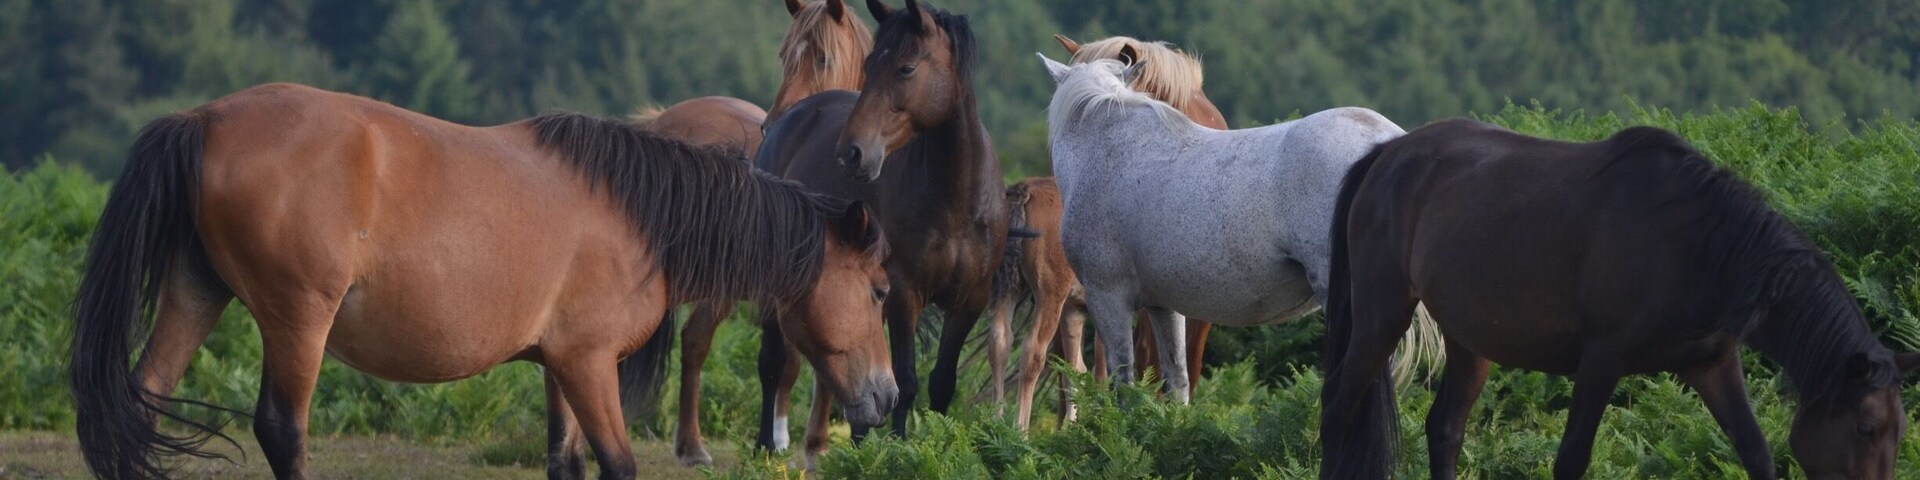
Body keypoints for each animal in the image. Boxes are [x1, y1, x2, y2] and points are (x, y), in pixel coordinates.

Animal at [67, 83, 896, 480]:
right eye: (881, 290)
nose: (888, 398)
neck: (639, 211)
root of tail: (204, 119)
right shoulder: (590, 365)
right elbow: (618, 464)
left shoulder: (562, 367)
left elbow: (565, 462)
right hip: (297, 321)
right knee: (281, 430)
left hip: (195, 294)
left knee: (142, 403)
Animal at [614, 0, 876, 467]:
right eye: (784, 56)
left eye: (824, 59)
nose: (775, 125)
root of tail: (663, 120)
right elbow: (777, 361)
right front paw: (766, 444)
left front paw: (813, 444)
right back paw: (687, 445)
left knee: (695, 338)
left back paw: (691, 444)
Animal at [753, 0, 1008, 465]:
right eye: (869, 66)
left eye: (906, 68)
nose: (852, 153)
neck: (956, 199)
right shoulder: (904, 294)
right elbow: (905, 381)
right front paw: (899, 449)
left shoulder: (970, 301)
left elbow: (941, 383)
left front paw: (935, 445)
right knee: (774, 359)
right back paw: (767, 446)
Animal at [983, 36, 1227, 430]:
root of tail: (1022, 193)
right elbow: (1106, 368)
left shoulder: (1081, 309)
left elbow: (1078, 370)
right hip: (1047, 296)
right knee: (1033, 353)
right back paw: (1020, 429)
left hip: (1009, 289)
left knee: (1001, 344)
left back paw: (998, 422)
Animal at [1319, 119, 1920, 480]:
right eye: (1865, 428)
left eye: (1900, 432)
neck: (1697, 246)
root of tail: (1386, 155)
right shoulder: (1601, 361)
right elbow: (1571, 458)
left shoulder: (1713, 363)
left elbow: (1756, 449)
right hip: (1381, 317)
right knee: (1338, 409)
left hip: (1471, 340)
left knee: (1444, 429)